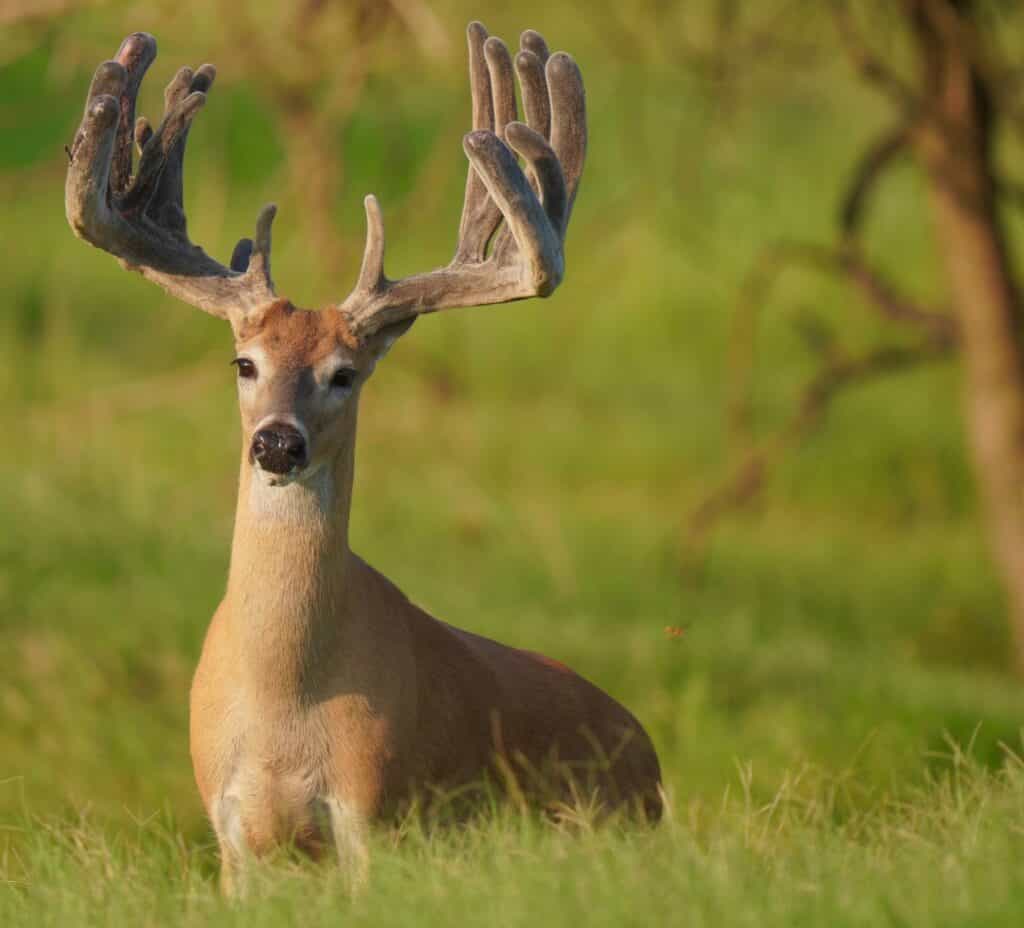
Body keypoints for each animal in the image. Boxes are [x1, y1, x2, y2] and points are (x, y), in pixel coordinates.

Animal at [65, 22, 662, 895]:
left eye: (344, 374)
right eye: (244, 363)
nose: (277, 441)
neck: (285, 705)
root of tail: (649, 753)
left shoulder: (377, 809)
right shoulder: (230, 831)